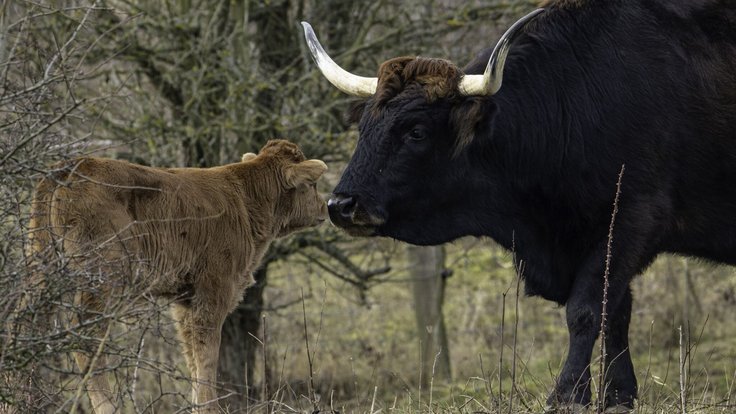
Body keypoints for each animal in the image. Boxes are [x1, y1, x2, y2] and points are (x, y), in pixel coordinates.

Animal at [28, 141, 328, 412]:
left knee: (31, 324)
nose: (325, 207)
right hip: (102, 278)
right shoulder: (213, 291)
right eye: (312, 184)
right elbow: (207, 355)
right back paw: (107, 407)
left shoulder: (185, 299)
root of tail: (71, 167)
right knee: (84, 334)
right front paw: (208, 407)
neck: (247, 197)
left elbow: (192, 355)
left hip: (43, 271)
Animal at [302, 0, 736, 410]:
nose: (341, 204)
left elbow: (587, 310)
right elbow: (615, 311)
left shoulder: (633, 218)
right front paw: (617, 395)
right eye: (364, 127)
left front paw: (569, 394)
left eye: (416, 132)